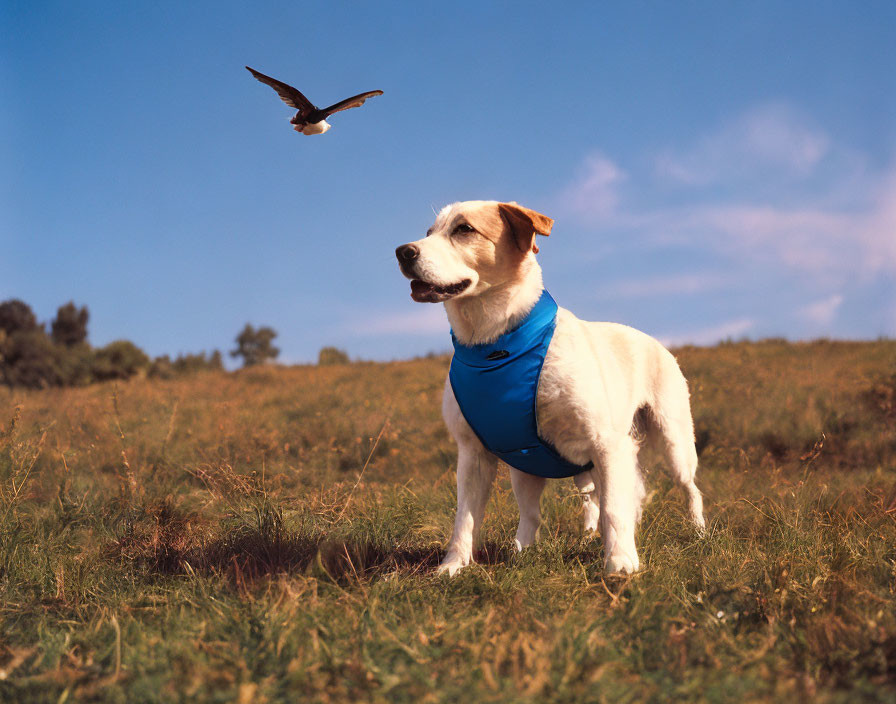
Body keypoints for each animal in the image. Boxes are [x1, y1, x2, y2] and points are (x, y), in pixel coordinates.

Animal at [396, 201, 704, 576]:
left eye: (464, 229)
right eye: (429, 233)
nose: (403, 251)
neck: (495, 344)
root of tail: (654, 341)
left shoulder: (607, 445)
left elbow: (615, 509)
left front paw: (620, 563)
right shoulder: (473, 453)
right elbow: (466, 519)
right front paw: (453, 566)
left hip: (674, 442)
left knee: (686, 489)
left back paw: (697, 532)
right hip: (535, 468)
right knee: (552, 510)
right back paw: (530, 549)